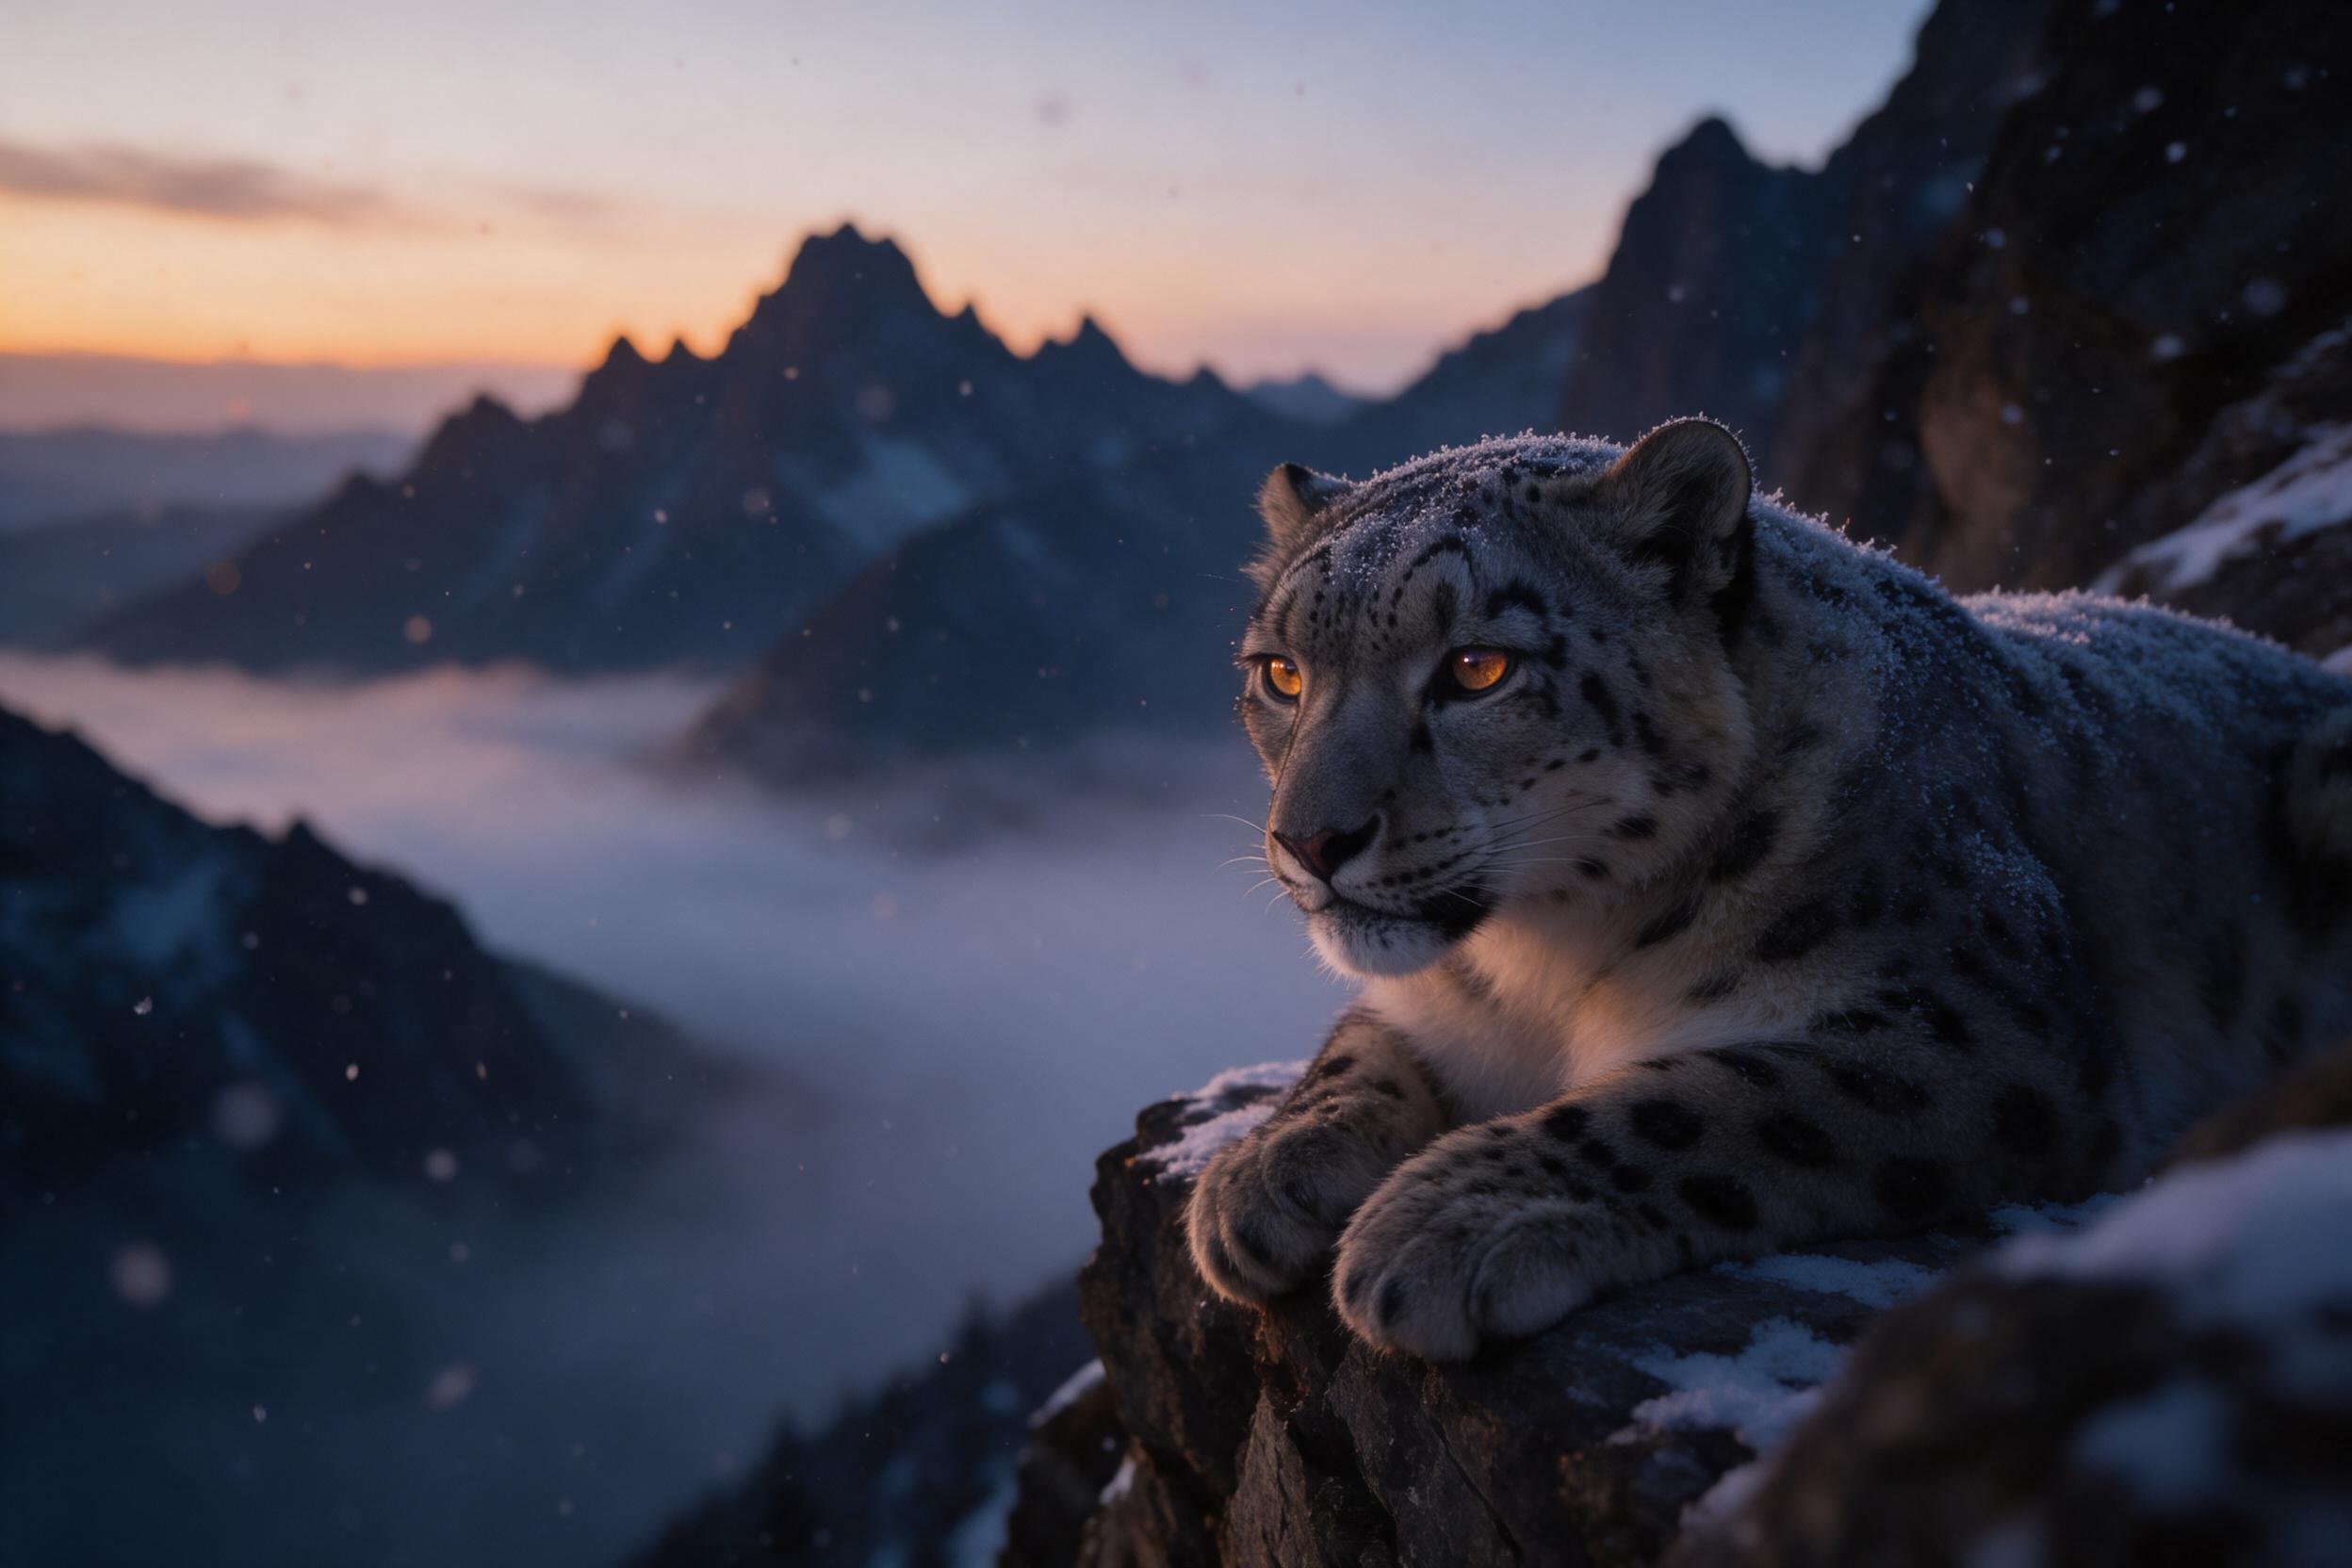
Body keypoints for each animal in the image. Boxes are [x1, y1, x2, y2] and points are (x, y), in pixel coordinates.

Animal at [1186, 419, 2352, 1361]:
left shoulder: (1979, 1025)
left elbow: (1707, 1101)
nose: (1310, 840)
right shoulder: (1441, 1007)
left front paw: (1446, 1222)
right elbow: (1359, 1046)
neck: (1542, 971)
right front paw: (1260, 1174)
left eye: (1479, 667)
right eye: (1281, 672)